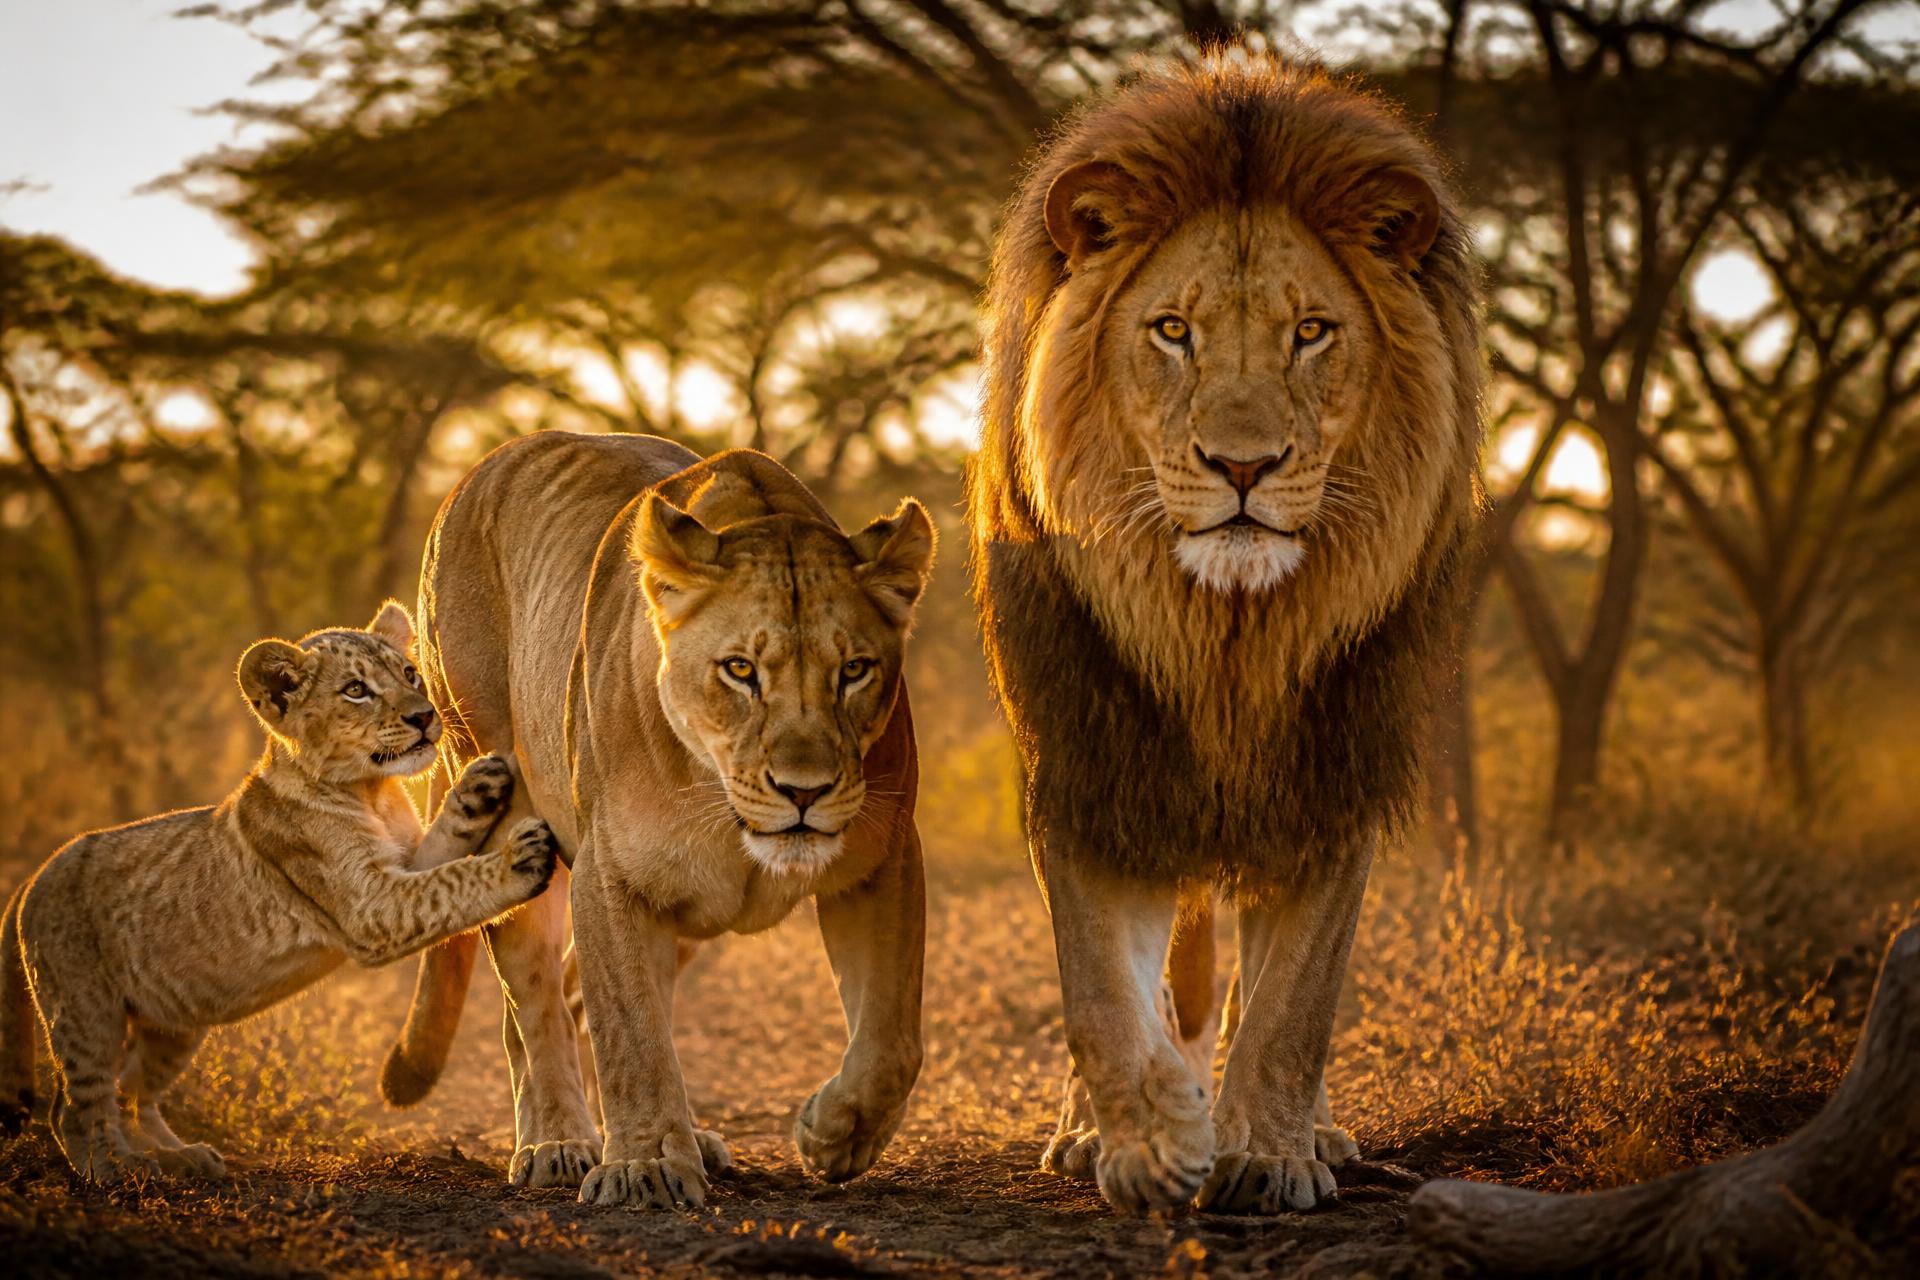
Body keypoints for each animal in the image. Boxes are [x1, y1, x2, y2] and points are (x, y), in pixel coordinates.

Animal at [0, 603, 559, 1182]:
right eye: (356, 689)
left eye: (409, 674)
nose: (424, 716)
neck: (372, 791)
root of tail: (34, 877)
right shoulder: (369, 909)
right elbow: (449, 886)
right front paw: (521, 858)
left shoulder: (402, 865)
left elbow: (443, 852)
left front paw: (480, 786)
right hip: (87, 1010)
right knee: (76, 1106)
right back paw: (118, 1169)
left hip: (171, 1020)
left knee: (133, 1093)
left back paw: (179, 1156)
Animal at [377, 432, 934, 1209]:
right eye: (740, 670)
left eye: (853, 670)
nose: (806, 791)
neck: (723, 805)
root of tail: (480, 469)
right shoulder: (611, 875)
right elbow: (631, 1031)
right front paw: (642, 1167)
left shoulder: (882, 859)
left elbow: (891, 1036)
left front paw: (835, 1134)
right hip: (497, 790)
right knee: (537, 1004)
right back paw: (558, 1143)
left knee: (576, 999)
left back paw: (681, 1136)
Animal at [966, 51, 1481, 1215]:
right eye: (1173, 331)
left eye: (1311, 331)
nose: (1242, 467)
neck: (1225, 635)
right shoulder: (1091, 760)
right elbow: (1102, 995)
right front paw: (1150, 1145)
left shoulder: (1334, 768)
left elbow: (1294, 1005)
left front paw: (1270, 1156)